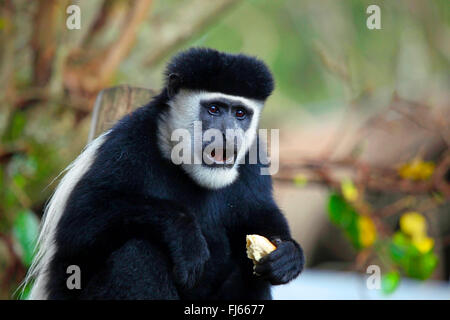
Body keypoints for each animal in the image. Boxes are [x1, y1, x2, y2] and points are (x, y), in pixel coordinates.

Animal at [25, 47, 306, 300]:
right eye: (214, 109)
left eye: (239, 113)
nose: (229, 134)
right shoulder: (126, 144)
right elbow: (80, 222)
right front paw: (185, 235)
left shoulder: (253, 158)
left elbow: (261, 213)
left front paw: (289, 255)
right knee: (139, 252)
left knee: (249, 272)